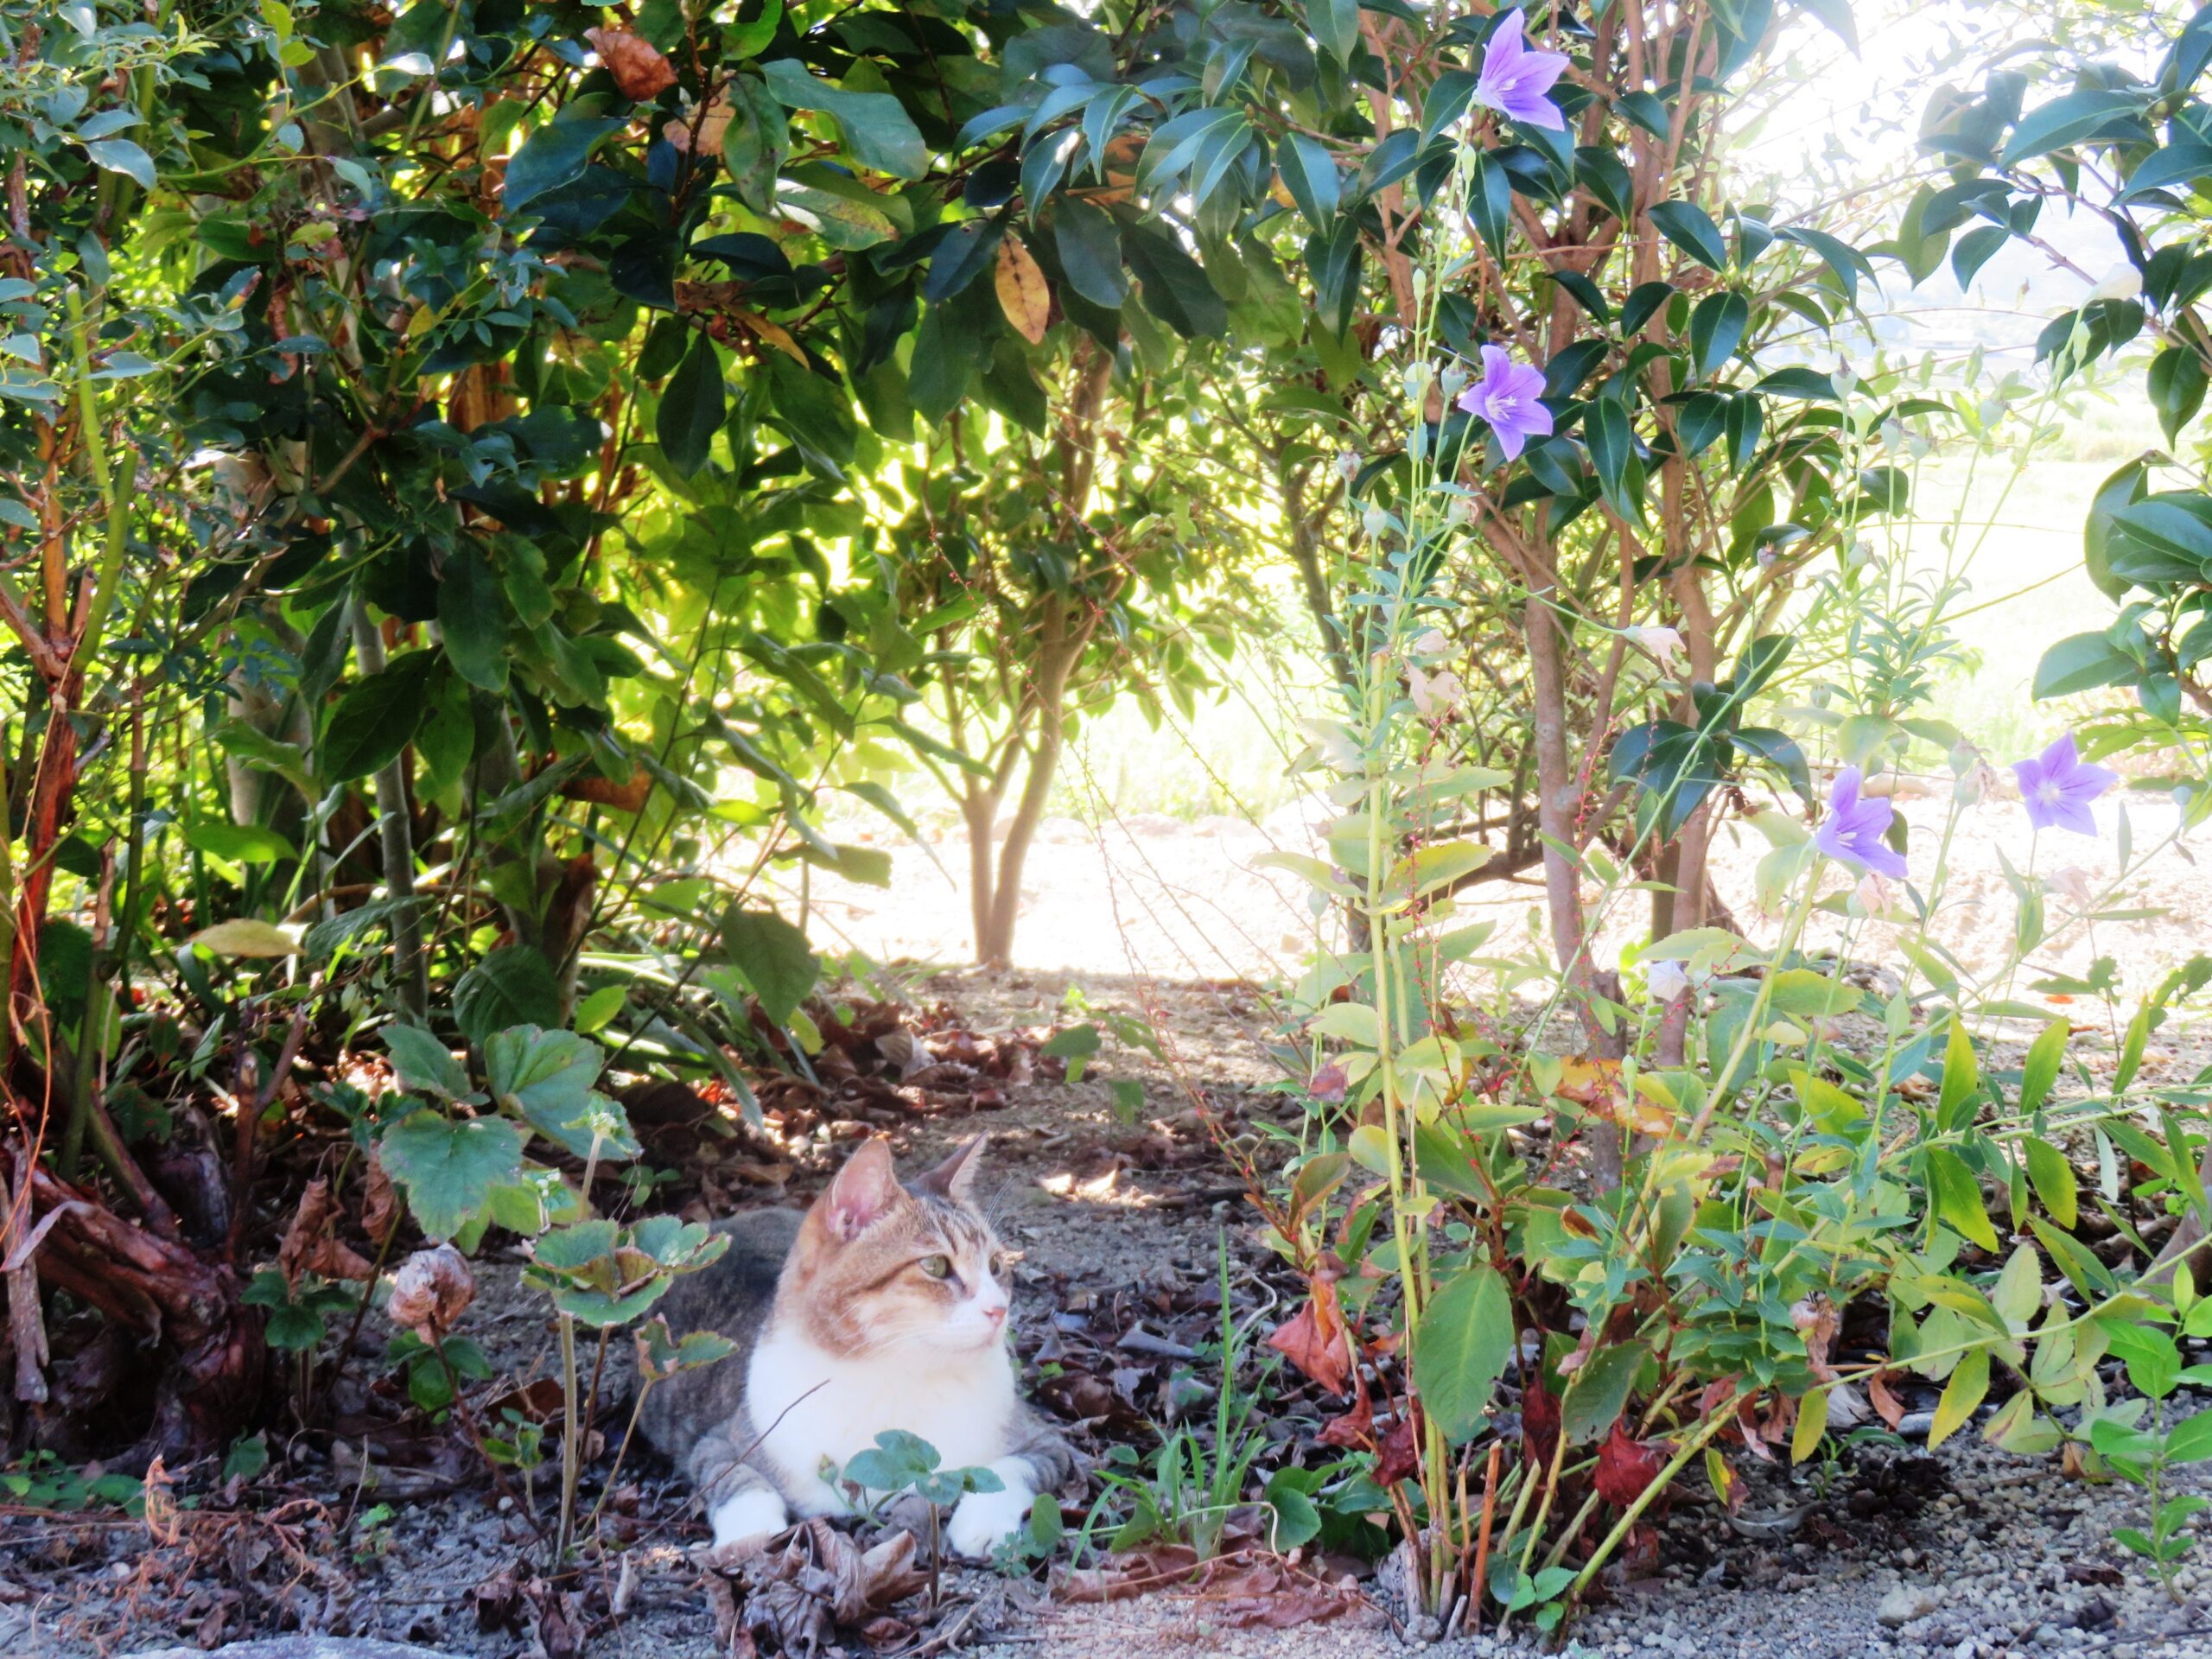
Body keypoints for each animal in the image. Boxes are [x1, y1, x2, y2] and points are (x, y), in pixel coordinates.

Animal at [637, 1123, 1075, 1566]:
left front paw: (984, 1526)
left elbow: (1008, 1471)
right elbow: (737, 1481)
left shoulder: (1045, 1441)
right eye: (935, 1266)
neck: (897, 1377)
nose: (999, 1309)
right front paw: (749, 1535)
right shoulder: (719, 1442)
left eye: (996, 1266)